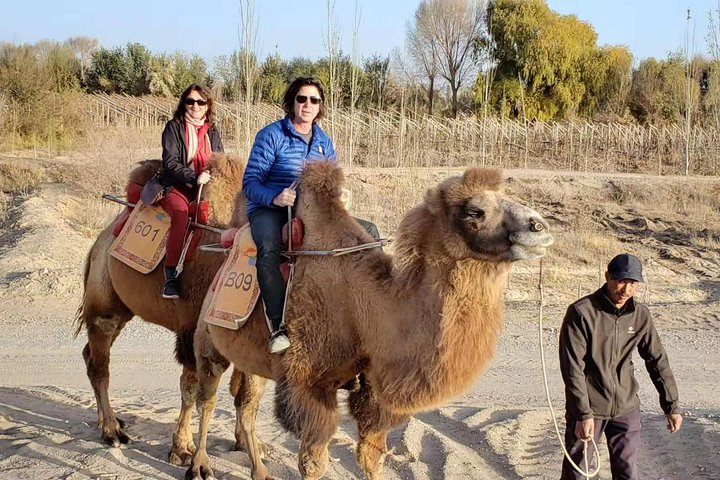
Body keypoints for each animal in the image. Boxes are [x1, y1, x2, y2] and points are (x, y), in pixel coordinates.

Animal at [73, 153, 248, 465]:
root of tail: (99, 241)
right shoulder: (191, 329)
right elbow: (189, 387)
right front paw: (182, 449)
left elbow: (241, 391)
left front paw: (244, 443)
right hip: (104, 303)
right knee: (99, 364)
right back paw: (111, 431)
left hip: (123, 309)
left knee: (89, 353)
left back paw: (109, 420)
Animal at [188, 162, 554, 480]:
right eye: (474, 212)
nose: (539, 227)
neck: (367, 309)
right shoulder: (308, 382)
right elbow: (313, 463)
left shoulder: (372, 389)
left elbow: (372, 455)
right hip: (209, 339)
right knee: (207, 397)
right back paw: (198, 464)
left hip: (254, 358)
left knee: (246, 406)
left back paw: (260, 471)